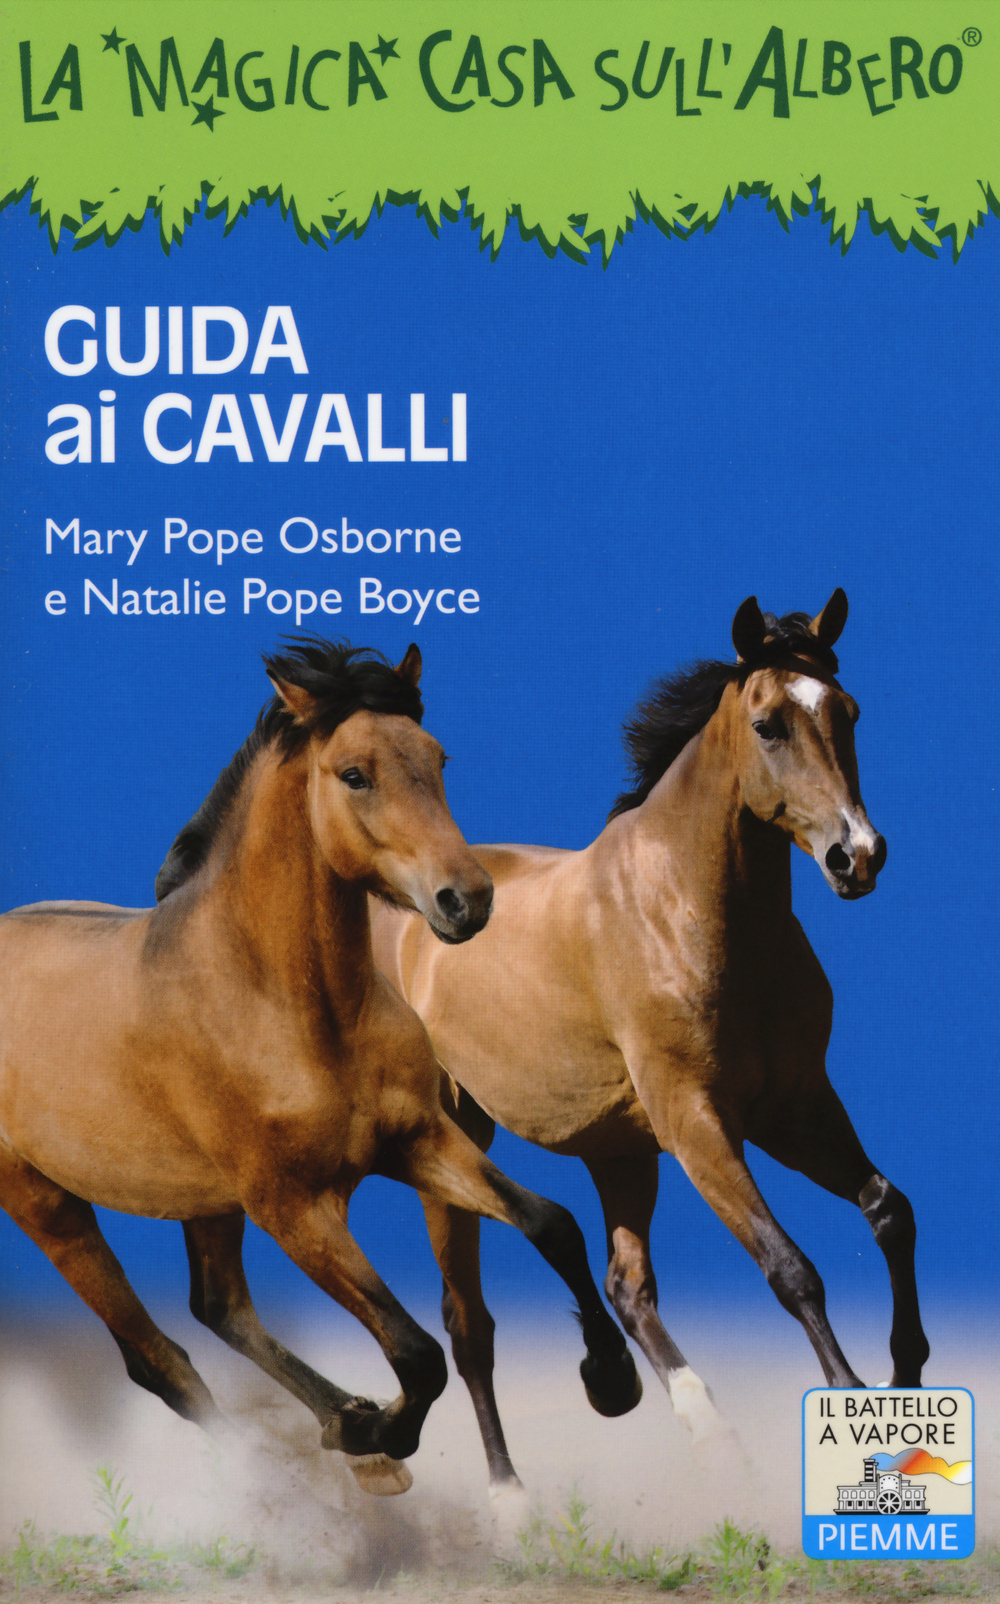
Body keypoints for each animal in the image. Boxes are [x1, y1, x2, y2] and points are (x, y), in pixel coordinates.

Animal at [0, 639, 639, 1498]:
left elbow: (552, 1224)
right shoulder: (295, 1207)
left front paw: (611, 1379)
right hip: (47, 1206)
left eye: (438, 758)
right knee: (158, 1358)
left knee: (219, 1307)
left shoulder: (419, 1141)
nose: (467, 900)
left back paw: (341, 1426)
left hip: (205, 1199)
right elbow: (417, 1352)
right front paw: (378, 1433)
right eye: (355, 774)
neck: (290, 1007)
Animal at [371, 592, 930, 1495]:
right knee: (468, 1326)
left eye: (847, 712)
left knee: (626, 1286)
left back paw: (688, 1421)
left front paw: (905, 1376)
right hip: (456, 1138)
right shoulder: (696, 1120)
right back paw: (511, 1499)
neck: (690, 911)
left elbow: (889, 1210)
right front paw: (850, 1401)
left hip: (619, 1149)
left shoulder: (795, 1107)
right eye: (769, 724)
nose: (859, 855)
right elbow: (790, 1266)